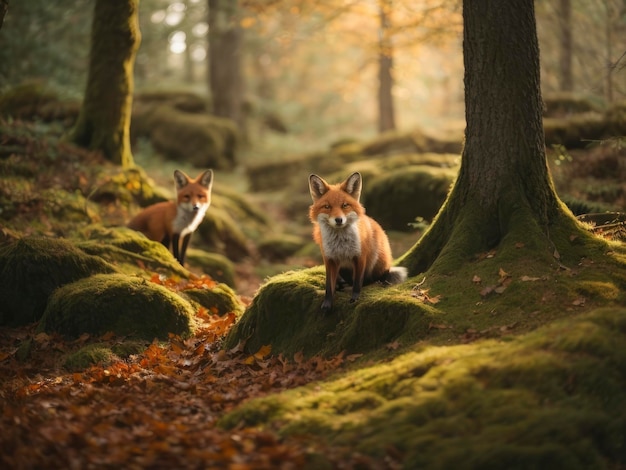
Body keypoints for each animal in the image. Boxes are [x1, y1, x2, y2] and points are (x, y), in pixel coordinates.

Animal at [308, 171, 408, 310]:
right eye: (327, 207)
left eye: (345, 205)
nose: (339, 220)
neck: (341, 244)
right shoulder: (329, 259)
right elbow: (329, 286)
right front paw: (327, 303)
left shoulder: (360, 256)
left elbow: (357, 282)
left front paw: (355, 298)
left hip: (379, 263)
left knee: (375, 278)